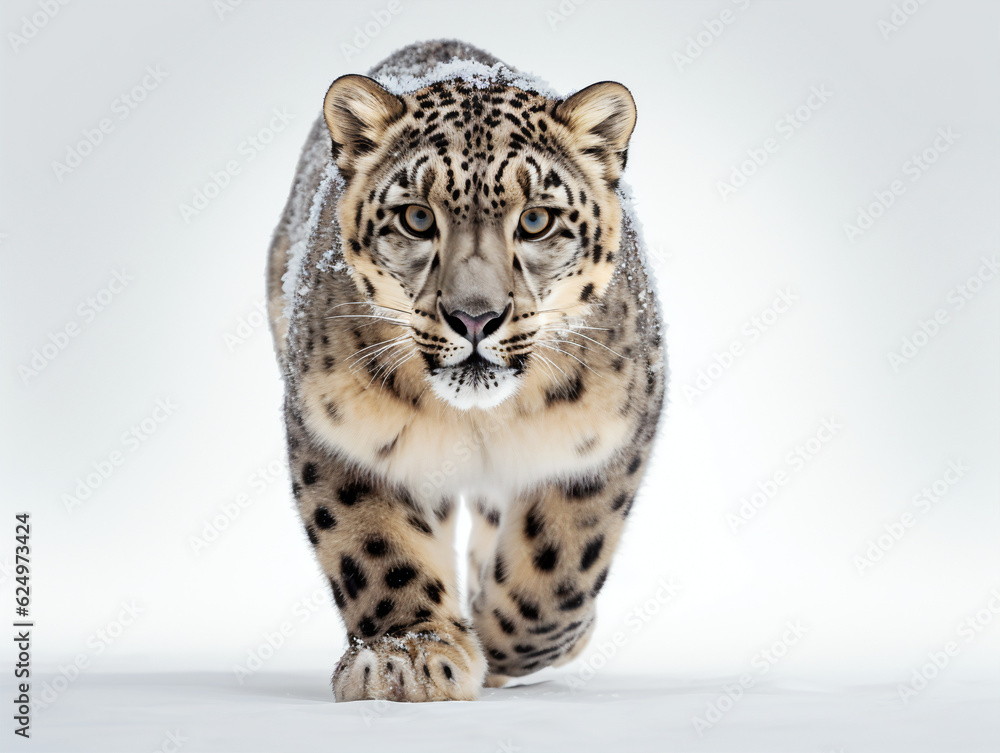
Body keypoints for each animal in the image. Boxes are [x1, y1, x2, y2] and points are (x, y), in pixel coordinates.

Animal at [266, 39, 666, 702]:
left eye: (535, 220)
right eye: (416, 218)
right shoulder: (340, 435)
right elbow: (373, 546)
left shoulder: (601, 443)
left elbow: (558, 567)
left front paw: (500, 646)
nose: (474, 317)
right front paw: (407, 659)